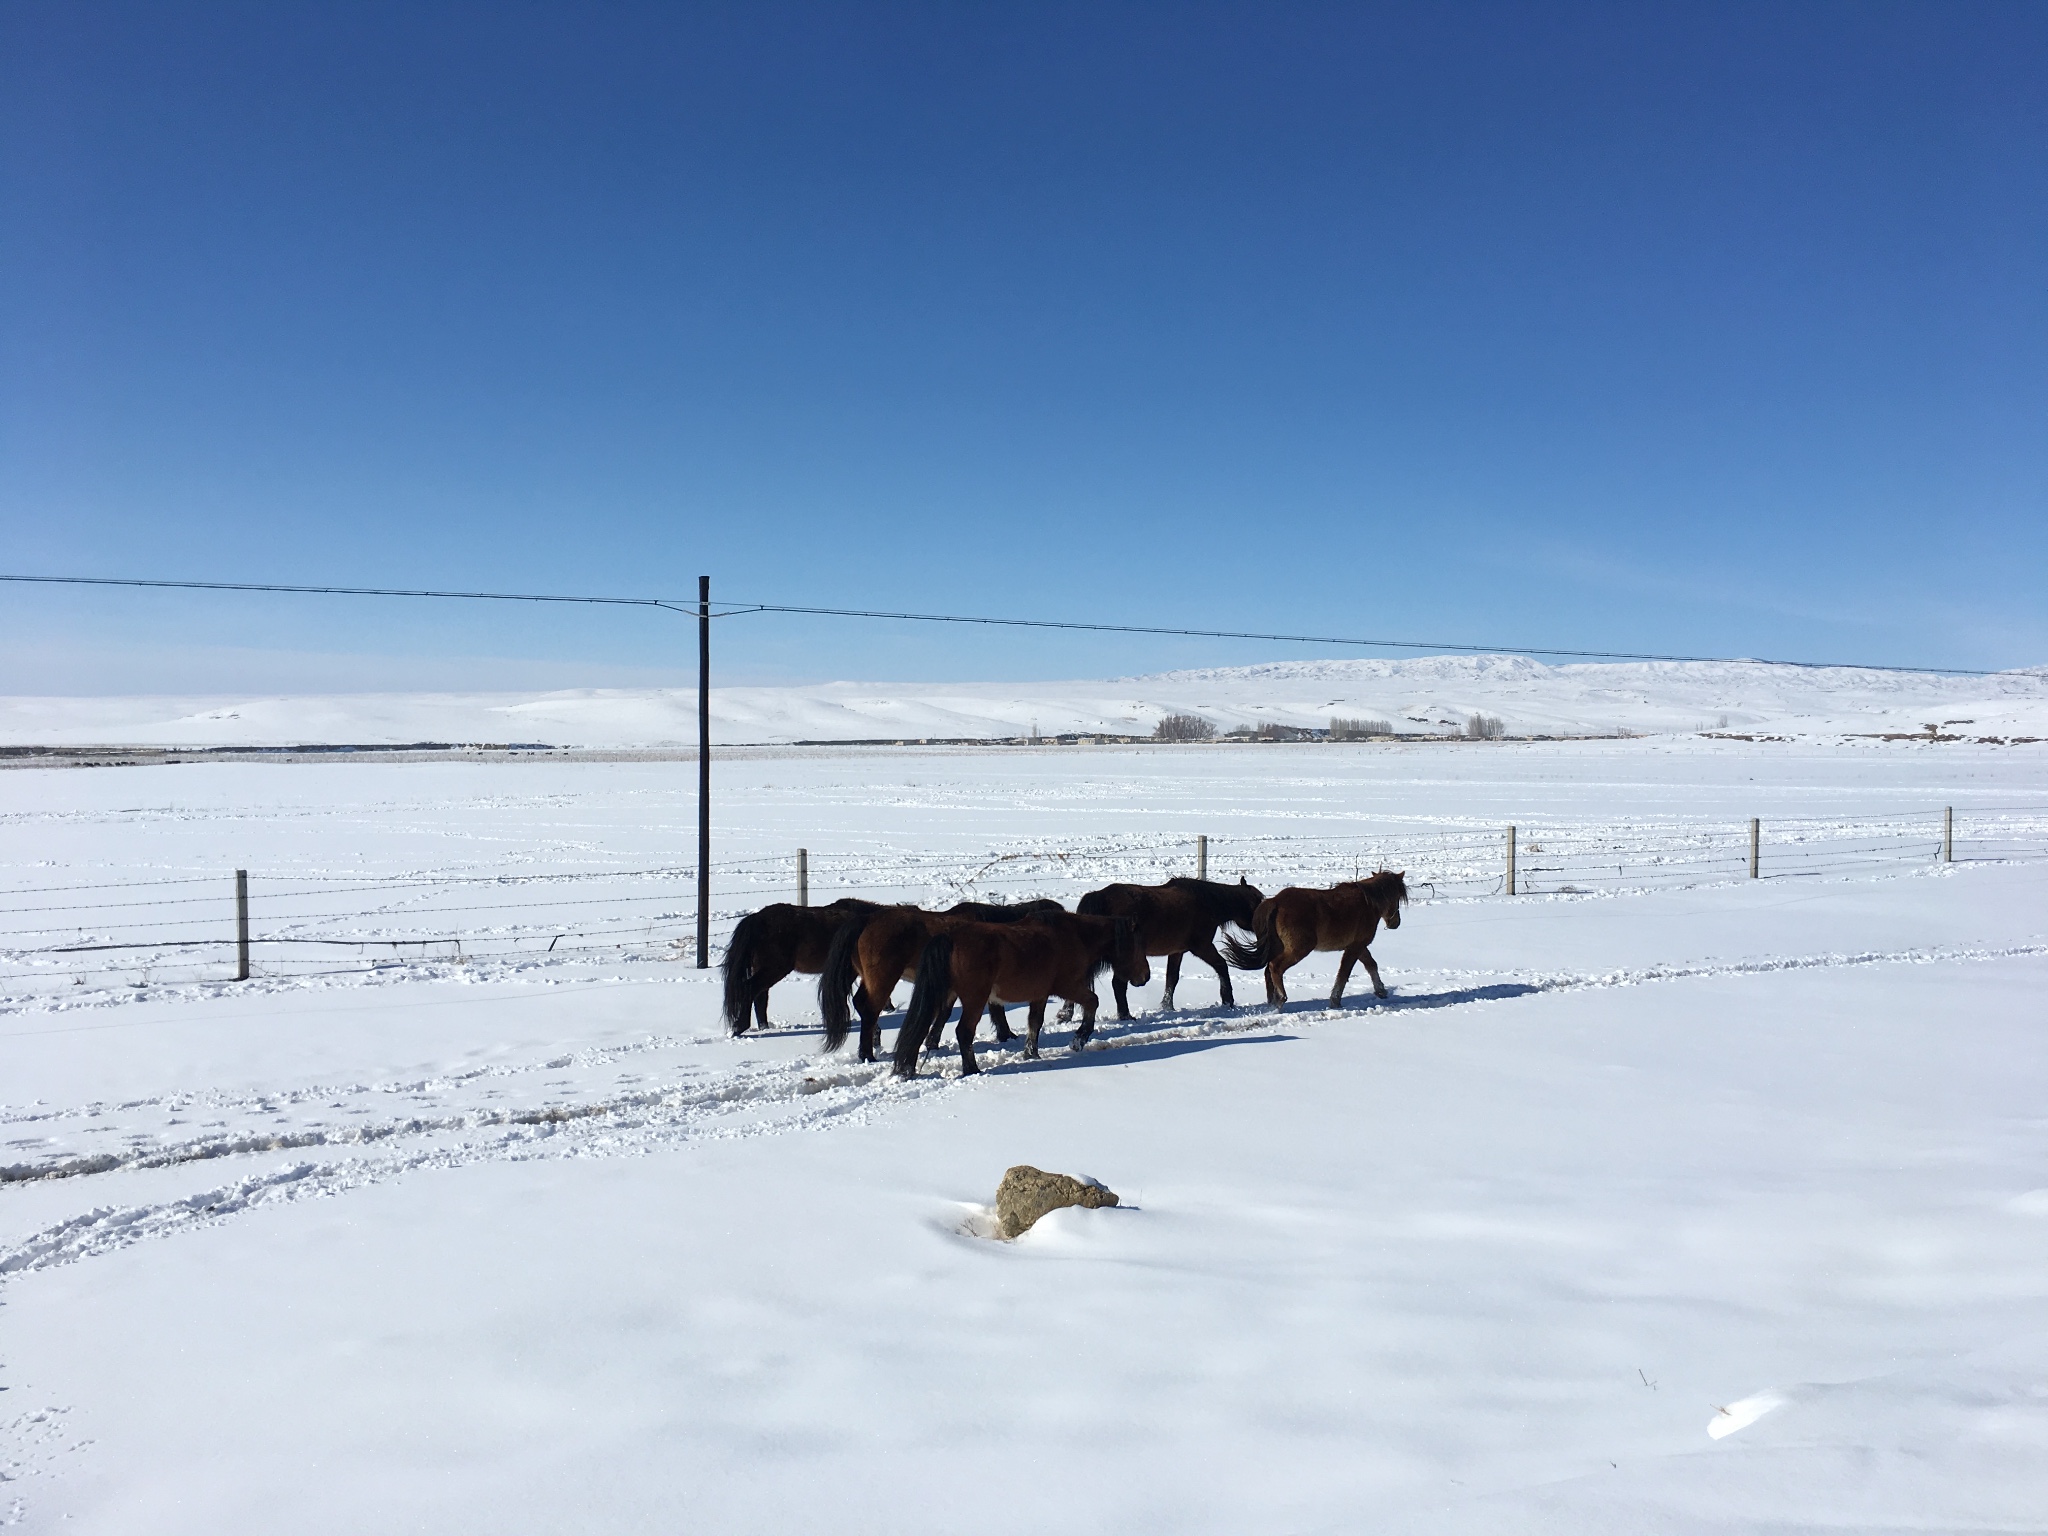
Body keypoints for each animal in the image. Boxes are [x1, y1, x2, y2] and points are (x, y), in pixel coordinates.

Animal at [721, 898, 879, 1035]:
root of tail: (757, 919)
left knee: (760, 996)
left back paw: (763, 1027)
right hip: (773, 969)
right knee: (751, 990)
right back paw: (740, 1027)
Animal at [818, 899, 1067, 1063]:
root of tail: (866, 920)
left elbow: (944, 1013)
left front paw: (932, 1042)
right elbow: (993, 1010)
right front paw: (1006, 1035)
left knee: (861, 1004)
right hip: (883, 979)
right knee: (870, 1010)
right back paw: (867, 1054)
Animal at [892, 911, 1148, 1078]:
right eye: (1138, 945)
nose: (1145, 976)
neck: (1076, 937)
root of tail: (950, 938)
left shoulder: (1040, 995)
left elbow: (1035, 1023)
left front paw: (1031, 1053)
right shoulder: (1067, 986)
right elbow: (1092, 1002)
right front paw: (1079, 1040)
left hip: (943, 996)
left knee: (920, 1028)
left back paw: (907, 1069)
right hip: (974, 1000)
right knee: (963, 1032)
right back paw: (972, 1070)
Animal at [1071, 875, 1264, 1018]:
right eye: (1258, 903)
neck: (1207, 902)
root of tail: (1100, 896)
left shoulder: (1177, 952)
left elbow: (1172, 978)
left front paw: (1167, 1007)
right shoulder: (1202, 947)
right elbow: (1221, 966)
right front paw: (1228, 1000)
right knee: (1118, 985)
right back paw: (1125, 1016)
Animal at [1220, 871, 1408, 1008]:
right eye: (1398, 896)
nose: (1395, 923)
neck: (1367, 904)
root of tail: (1275, 902)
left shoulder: (1357, 946)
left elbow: (1371, 964)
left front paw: (1381, 991)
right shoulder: (1355, 947)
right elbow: (1344, 973)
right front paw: (1335, 1001)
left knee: (1267, 970)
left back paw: (1272, 1003)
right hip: (1298, 949)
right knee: (1275, 967)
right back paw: (1281, 999)